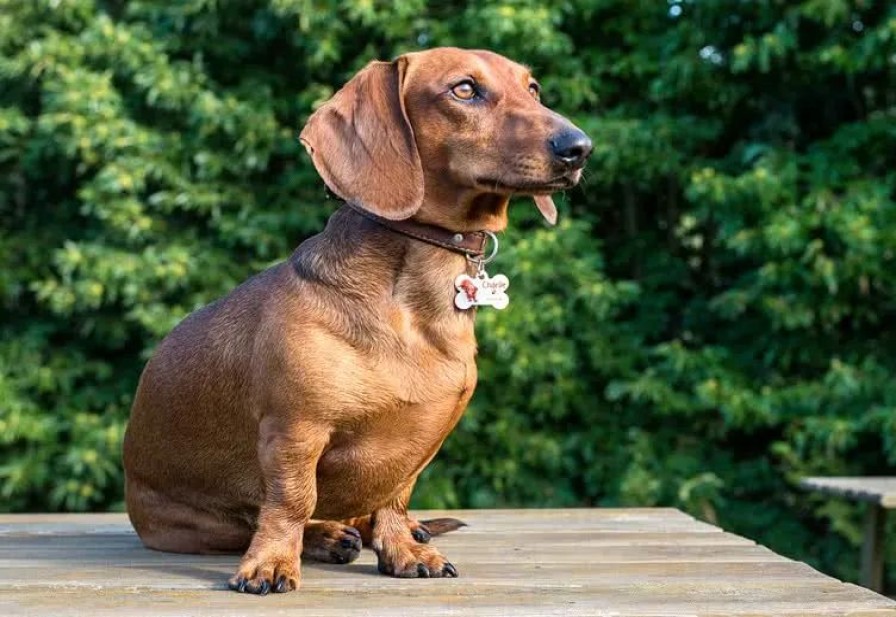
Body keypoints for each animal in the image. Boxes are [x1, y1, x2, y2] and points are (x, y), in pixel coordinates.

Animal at [122, 45, 592, 596]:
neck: (412, 307)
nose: (579, 147)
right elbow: (290, 501)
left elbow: (394, 496)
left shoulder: (414, 446)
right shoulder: (294, 430)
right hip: (198, 520)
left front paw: (404, 549)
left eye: (532, 88)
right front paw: (271, 564)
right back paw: (326, 536)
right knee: (259, 519)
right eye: (464, 89)